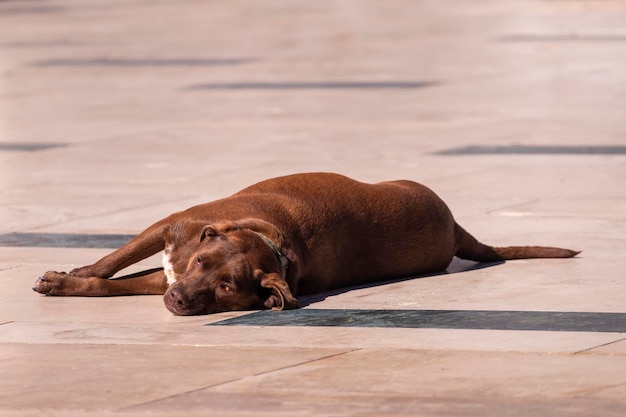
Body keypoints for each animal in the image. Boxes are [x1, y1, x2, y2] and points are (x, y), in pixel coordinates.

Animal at [33, 171, 576, 314]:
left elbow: (116, 276)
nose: (182, 300)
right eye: (201, 262)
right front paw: (71, 279)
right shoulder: (170, 232)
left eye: (227, 289)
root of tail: (457, 226)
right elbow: (110, 266)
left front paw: (67, 280)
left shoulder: (169, 259)